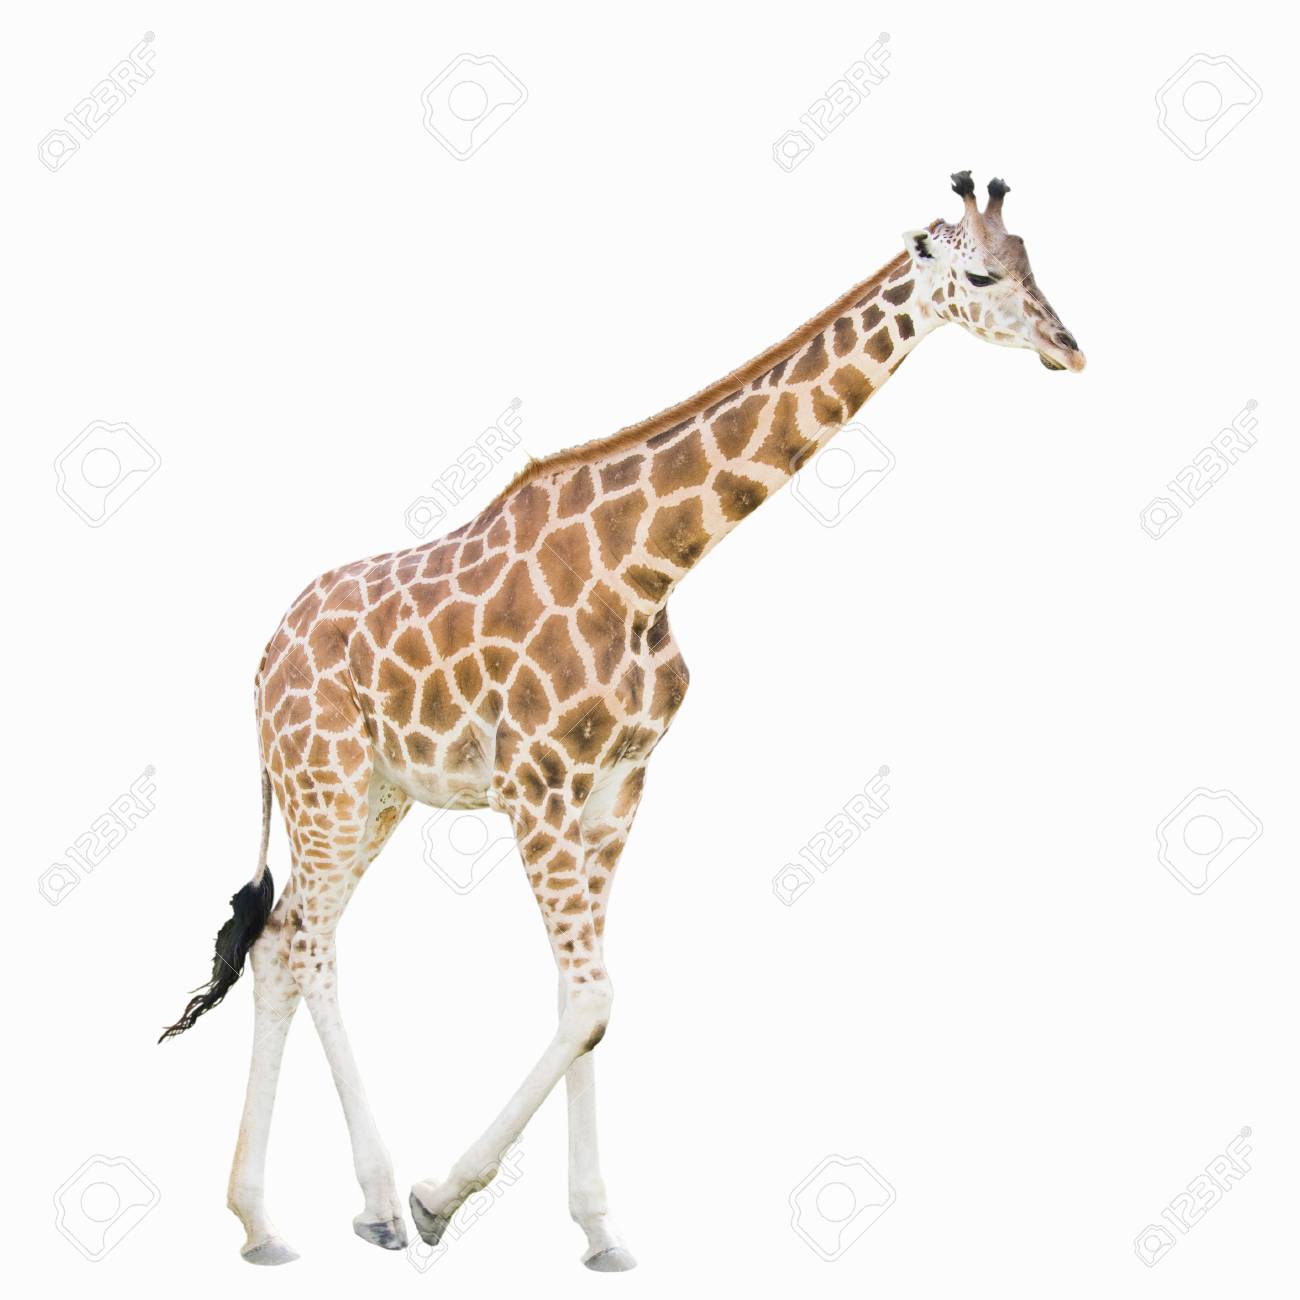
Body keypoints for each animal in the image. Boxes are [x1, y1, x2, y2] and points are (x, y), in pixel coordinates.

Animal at [161, 172, 1083, 1269]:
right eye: (980, 275)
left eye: (1032, 258)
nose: (1070, 347)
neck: (649, 565)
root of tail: (261, 661)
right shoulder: (537, 787)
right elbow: (596, 996)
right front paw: (440, 1196)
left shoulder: (615, 790)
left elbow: (585, 1004)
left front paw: (600, 1228)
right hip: (327, 780)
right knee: (306, 948)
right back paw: (380, 1200)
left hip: (373, 794)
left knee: (280, 940)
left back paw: (262, 1220)